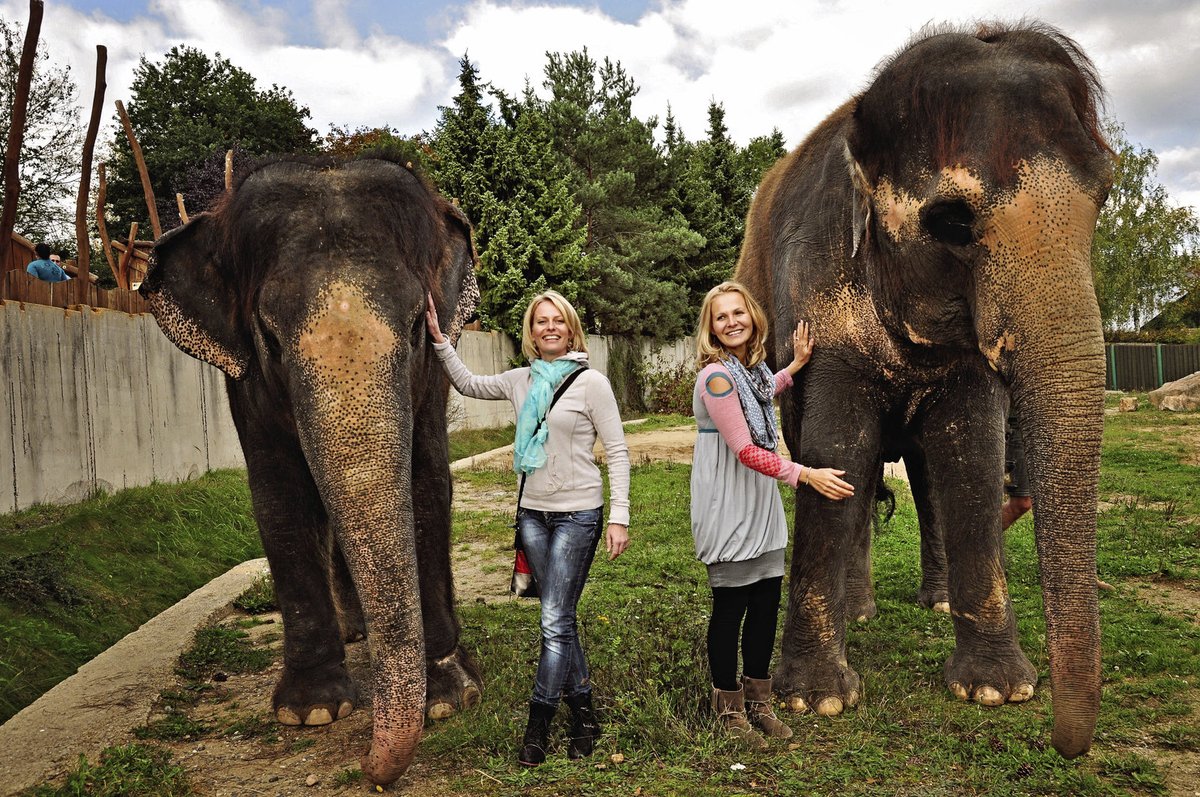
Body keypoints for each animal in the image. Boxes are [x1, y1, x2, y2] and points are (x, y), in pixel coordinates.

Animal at [137, 156, 482, 782]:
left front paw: (449, 697)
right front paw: (312, 712)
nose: (371, 771)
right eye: (271, 338)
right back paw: (354, 635)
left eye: (417, 328)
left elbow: (427, 483)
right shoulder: (243, 382)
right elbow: (280, 498)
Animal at [729, 20, 1113, 758]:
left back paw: (934, 603)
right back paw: (859, 611)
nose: (1064, 743)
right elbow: (835, 454)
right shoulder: (819, 291)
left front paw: (997, 690)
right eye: (953, 221)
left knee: (927, 480)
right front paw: (816, 700)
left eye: (1103, 199)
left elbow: (969, 463)